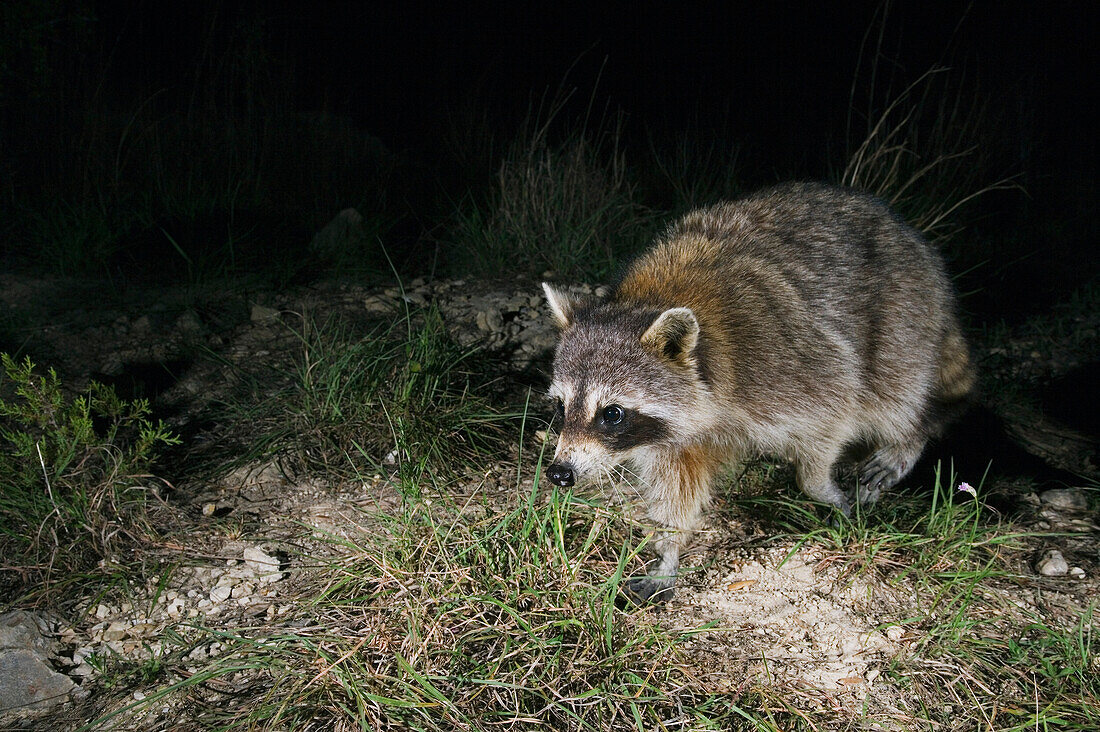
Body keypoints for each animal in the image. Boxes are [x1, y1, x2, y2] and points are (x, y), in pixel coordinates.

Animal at [539, 179, 972, 603]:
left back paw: (908, 438)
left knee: (894, 388)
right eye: (561, 407)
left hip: (904, 311)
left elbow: (836, 410)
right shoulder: (674, 435)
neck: (654, 297)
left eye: (612, 413)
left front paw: (819, 484)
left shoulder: (791, 364)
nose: (560, 473)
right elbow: (676, 487)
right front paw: (668, 550)